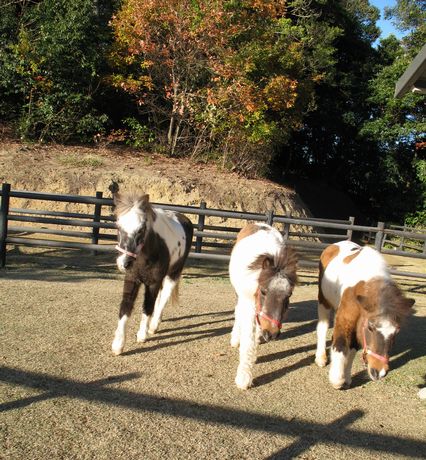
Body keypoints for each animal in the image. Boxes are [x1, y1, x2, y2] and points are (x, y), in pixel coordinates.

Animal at [112, 191, 194, 356]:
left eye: (141, 229)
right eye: (118, 226)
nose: (124, 263)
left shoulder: (153, 283)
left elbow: (147, 306)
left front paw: (142, 335)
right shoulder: (131, 279)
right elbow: (125, 307)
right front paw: (118, 344)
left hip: (173, 274)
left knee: (164, 297)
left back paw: (154, 325)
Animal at [230, 223, 296, 388]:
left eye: (289, 295)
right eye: (264, 291)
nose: (271, 334)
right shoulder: (248, 303)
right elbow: (247, 340)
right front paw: (244, 378)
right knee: (238, 312)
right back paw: (235, 339)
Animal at [314, 241, 414, 388]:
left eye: (396, 331)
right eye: (371, 327)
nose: (379, 372)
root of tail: (336, 244)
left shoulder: (358, 326)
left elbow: (352, 349)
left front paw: (347, 378)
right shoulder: (346, 319)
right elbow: (340, 344)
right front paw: (337, 379)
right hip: (323, 301)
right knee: (323, 327)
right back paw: (321, 358)